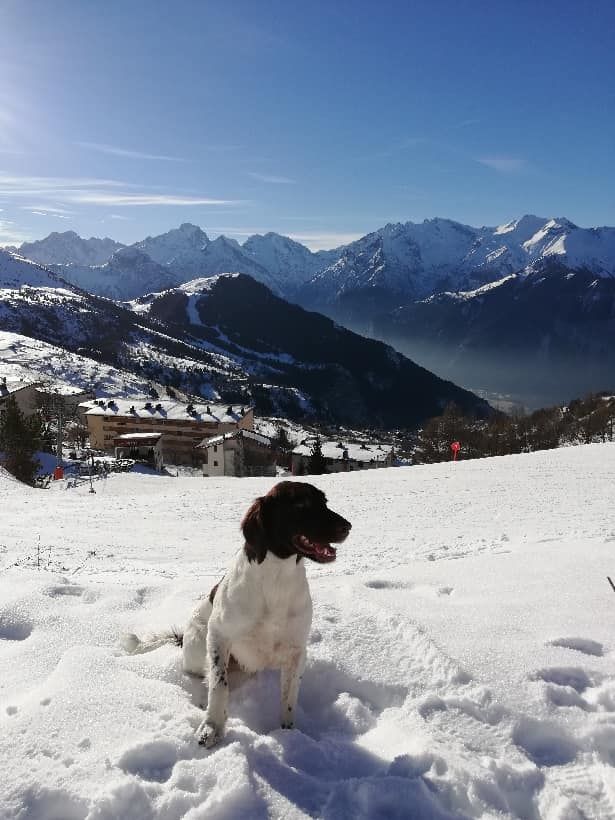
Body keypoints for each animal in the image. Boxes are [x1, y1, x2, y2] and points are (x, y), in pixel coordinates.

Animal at [122, 480, 352, 748]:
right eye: (301, 505)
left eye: (324, 502)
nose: (347, 526)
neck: (276, 579)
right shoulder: (219, 636)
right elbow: (219, 685)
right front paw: (211, 727)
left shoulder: (297, 650)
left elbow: (289, 698)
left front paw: (290, 735)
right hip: (198, 643)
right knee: (203, 675)